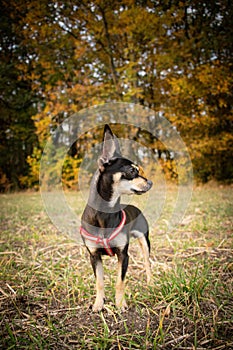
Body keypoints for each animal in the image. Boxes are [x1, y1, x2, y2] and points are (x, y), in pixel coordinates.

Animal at [80, 124, 153, 310]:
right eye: (132, 170)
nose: (150, 182)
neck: (105, 212)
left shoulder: (123, 255)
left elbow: (120, 281)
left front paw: (120, 304)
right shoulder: (94, 256)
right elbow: (99, 282)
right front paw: (98, 304)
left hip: (145, 241)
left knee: (147, 262)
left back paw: (151, 281)